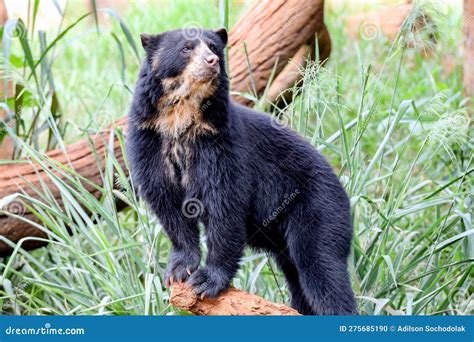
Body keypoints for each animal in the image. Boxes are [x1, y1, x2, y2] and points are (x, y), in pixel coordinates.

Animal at [128, 27, 358, 316]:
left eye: (213, 47)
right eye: (186, 48)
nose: (212, 61)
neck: (180, 117)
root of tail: (341, 189)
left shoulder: (220, 143)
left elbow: (225, 204)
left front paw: (206, 281)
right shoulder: (148, 140)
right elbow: (167, 203)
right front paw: (178, 271)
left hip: (319, 210)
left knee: (321, 268)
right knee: (300, 278)